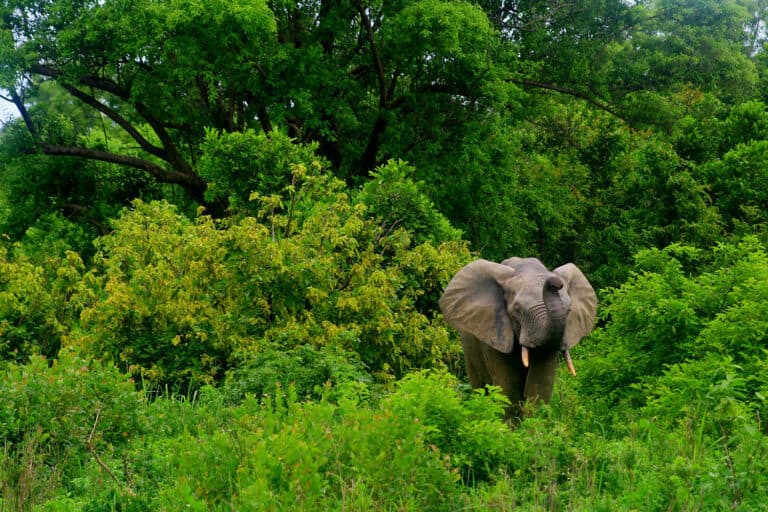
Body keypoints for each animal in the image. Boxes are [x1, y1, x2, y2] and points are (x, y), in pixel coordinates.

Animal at [439, 257, 597, 420]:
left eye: (569, 310)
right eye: (517, 310)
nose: (555, 283)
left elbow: (540, 386)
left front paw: (535, 426)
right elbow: (509, 388)